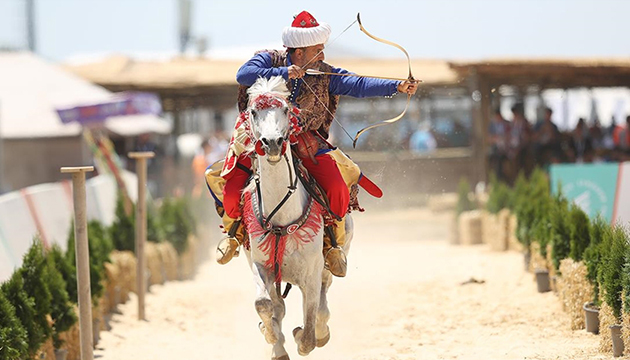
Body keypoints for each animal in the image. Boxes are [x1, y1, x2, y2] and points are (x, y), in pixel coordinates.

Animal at [242, 76, 354, 360]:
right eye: (253, 112)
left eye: (285, 109)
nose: (271, 143)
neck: (282, 216)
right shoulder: (262, 265)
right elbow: (264, 304)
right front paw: (271, 336)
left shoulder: (311, 274)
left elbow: (309, 333)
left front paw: (301, 335)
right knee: (278, 307)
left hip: (330, 262)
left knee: (323, 304)